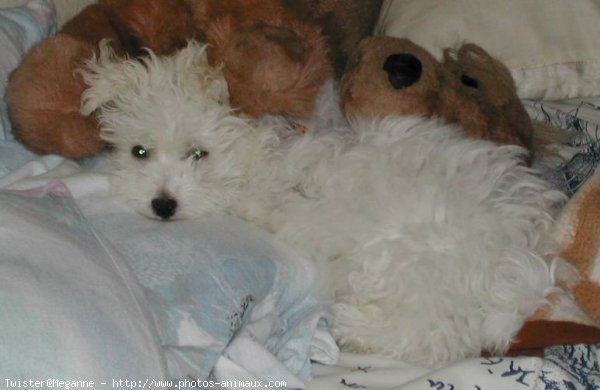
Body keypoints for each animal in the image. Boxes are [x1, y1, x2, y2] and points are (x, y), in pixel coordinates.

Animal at [81, 41, 568, 368]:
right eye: (139, 152)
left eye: (198, 154)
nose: (162, 204)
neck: (253, 159)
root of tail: (518, 267)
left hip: (409, 259)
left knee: (434, 335)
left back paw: (354, 326)